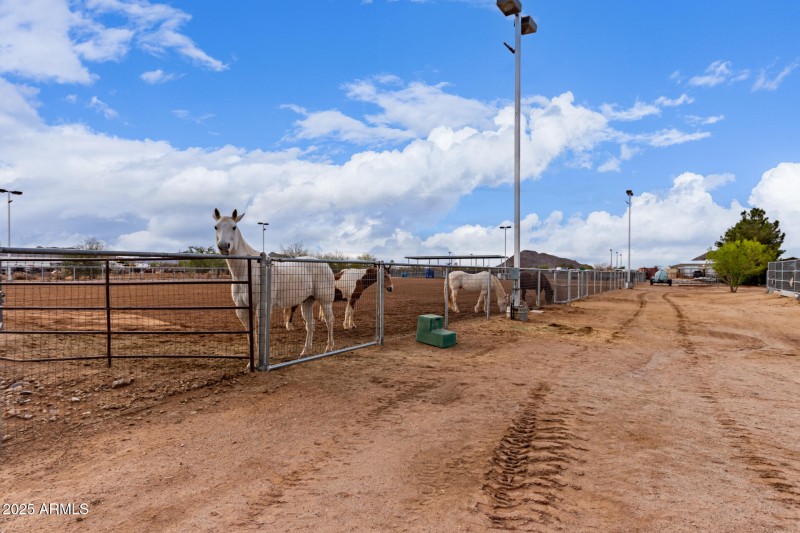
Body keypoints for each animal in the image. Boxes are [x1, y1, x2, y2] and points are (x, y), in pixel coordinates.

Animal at [213, 208, 335, 360]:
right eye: (216, 227)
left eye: (234, 227)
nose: (223, 246)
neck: (248, 270)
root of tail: (326, 265)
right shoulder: (242, 309)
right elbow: (251, 334)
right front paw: (251, 363)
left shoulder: (262, 307)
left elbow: (261, 334)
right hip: (307, 301)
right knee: (310, 324)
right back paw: (305, 351)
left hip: (325, 301)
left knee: (329, 321)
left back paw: (329, 348)